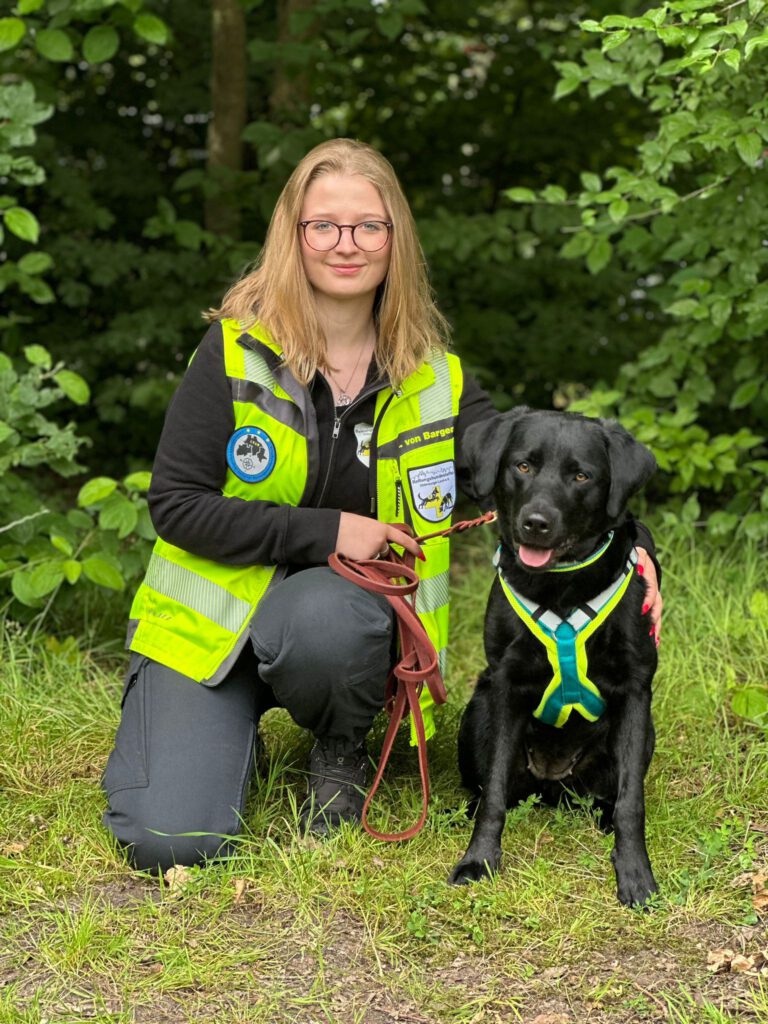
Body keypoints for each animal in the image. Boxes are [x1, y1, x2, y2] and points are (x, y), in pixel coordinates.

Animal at [450, 405, 663, 905]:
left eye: (581, 476)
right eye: (523, 466)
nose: (536, 522)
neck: (562, 587)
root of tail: (552, 785)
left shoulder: (635, 690)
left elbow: (632, 802)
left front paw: (634, 872)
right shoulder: (505, 685)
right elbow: (493, 794)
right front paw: (479, 859)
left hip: (643, 734)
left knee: (613, 794)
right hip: (478, 709)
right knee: (489, 787)